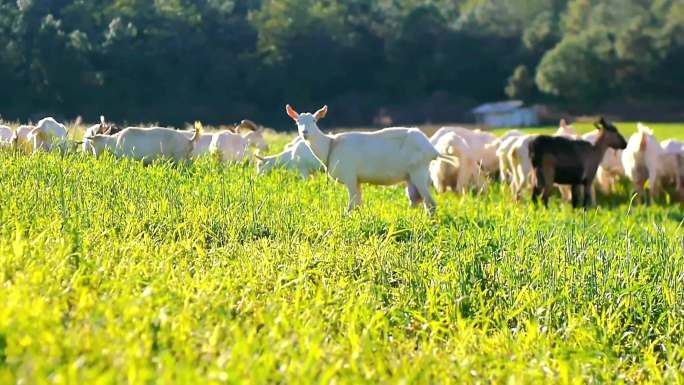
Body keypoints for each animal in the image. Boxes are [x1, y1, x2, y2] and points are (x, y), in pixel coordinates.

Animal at [286, 104, 456, 213]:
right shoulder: (357, 180)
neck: (330, 145)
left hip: (419, 170)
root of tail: (432, 149)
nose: (305, 132)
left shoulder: (349, 175)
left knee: (430, 203)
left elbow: (351, 205)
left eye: (314, 121)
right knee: (416, 200)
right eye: (297, 122)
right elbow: (358, 204)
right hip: (412, 175)